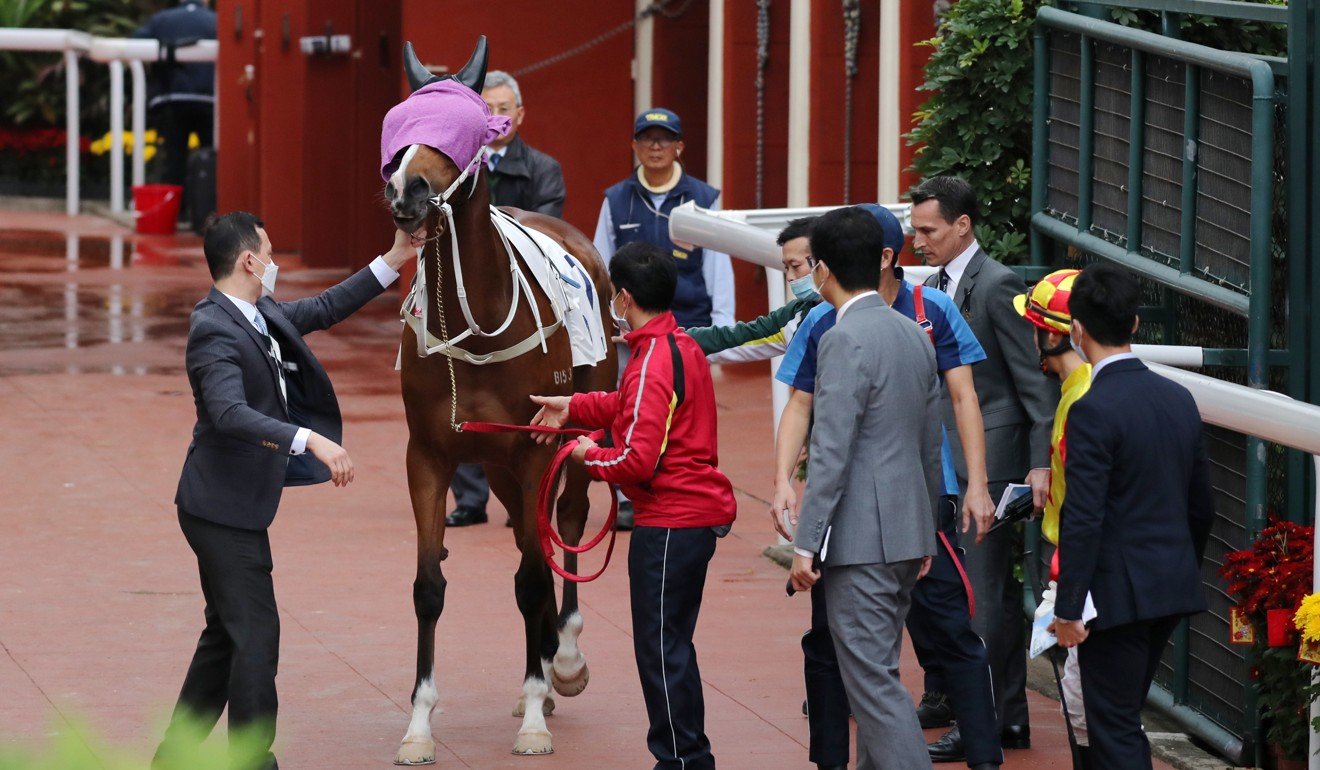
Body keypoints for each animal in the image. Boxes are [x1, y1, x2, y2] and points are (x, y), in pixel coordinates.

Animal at [382, 40, 617, 766]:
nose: (408, 189)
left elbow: (536, 575)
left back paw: (561, 658)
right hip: (495, 463)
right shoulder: (428, 454)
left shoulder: (536, 444)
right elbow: (428, 587)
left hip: (573, 431)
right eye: (400, 123)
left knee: (565, 522)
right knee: (522, 533)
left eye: (462, 128)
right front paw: (419, 725)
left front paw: (537, 712)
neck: (474, 318)